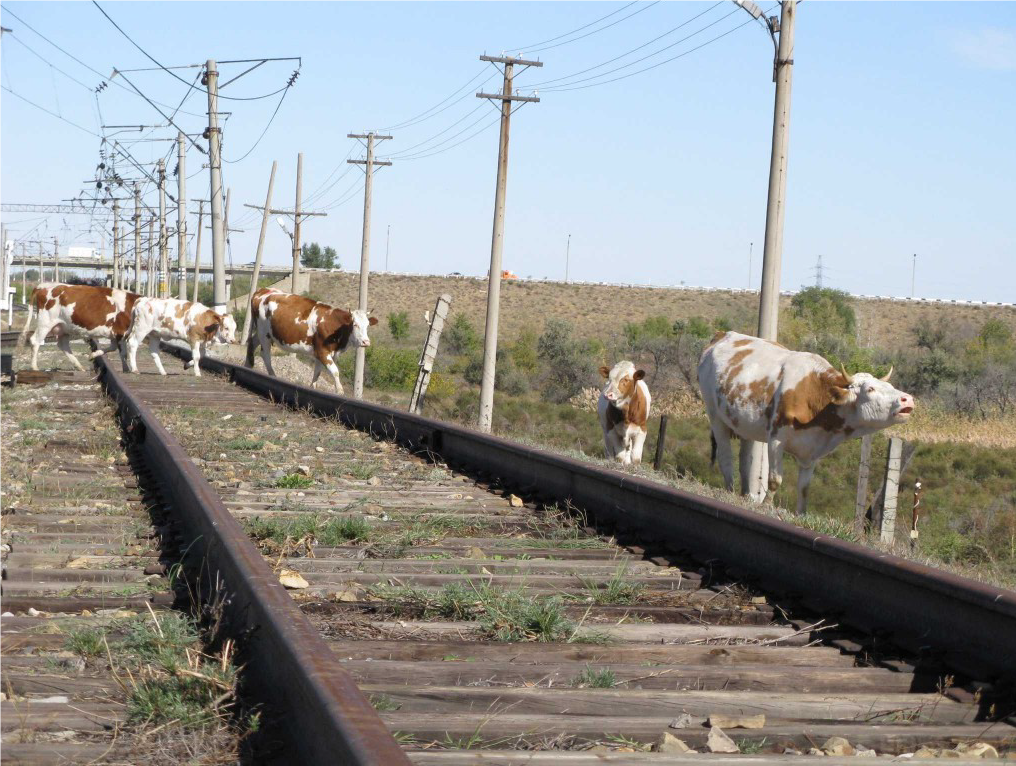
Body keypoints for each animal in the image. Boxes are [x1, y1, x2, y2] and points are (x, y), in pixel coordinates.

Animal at [245, 286, 377, 394]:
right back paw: (272, 375)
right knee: (265, 354)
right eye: (355, 324)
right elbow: (335, 371)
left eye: (368, 325)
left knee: (252, 343)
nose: (366, 342)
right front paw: (339, 391)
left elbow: (317, 373)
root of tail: (262, 290)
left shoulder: (323, 353)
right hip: (264, 333)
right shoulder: (322, 351)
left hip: (263, 333)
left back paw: (248, 365)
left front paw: (312, 387)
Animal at [699, 329, 914, 514]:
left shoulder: (812, 452)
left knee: (745, 460)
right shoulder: (776, 439)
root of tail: (723, 334)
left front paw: (801, 514)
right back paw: (729, 489)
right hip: (715, 415)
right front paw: (766, 505)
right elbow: (775, 479)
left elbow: (804, 488)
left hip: (744, 424)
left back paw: (745, 494)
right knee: (725, 456)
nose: (908, 399)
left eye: (890, 386)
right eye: (870, 389)